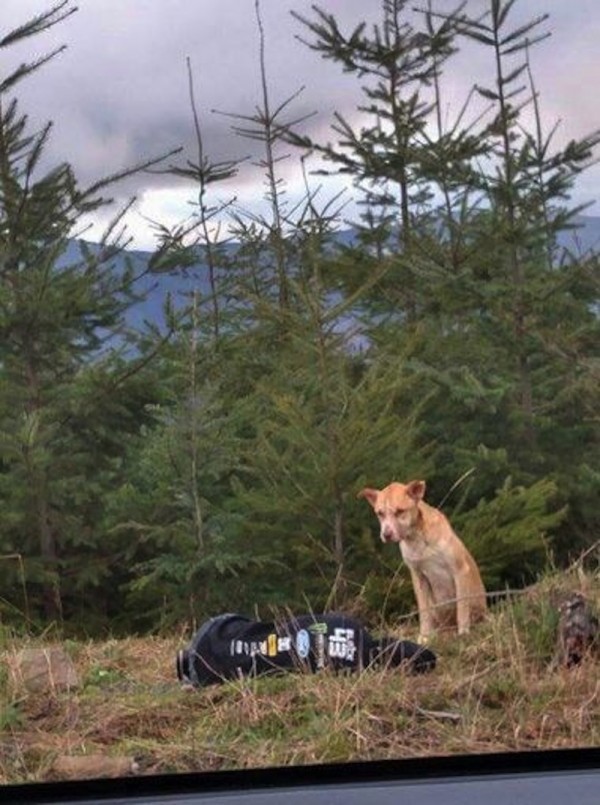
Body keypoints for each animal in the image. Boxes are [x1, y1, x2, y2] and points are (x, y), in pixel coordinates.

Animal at [358, 478, 486, 640]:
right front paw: (425, 637)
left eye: (400, 511)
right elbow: (424, 611)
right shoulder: (419, 577)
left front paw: (463, 632)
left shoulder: (460, 570)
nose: (386, 535)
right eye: (380, 513)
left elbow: (462, 606)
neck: (417, 538)